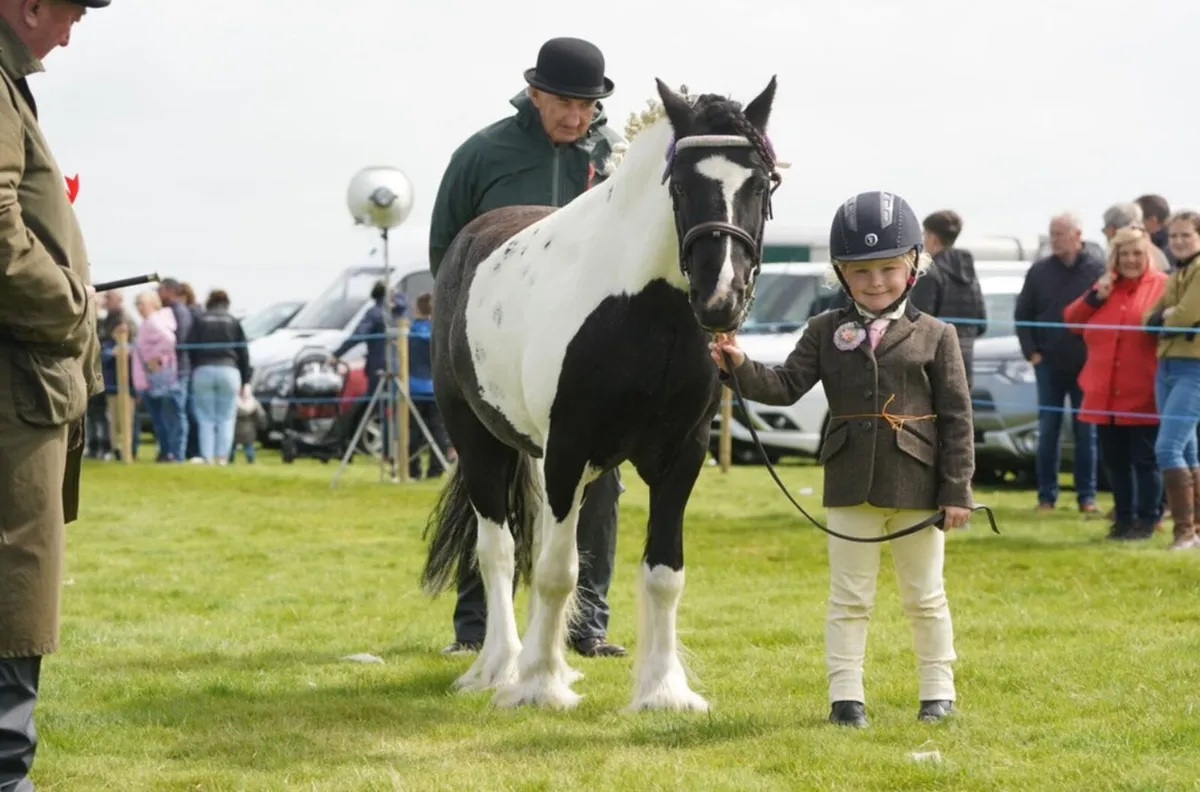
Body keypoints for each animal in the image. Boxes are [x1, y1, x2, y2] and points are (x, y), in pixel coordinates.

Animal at [420, 76, 782, 712]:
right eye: (681, 185)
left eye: (759, 184)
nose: (721, 300)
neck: (645, 312)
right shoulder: (567, 448)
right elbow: (555, 572)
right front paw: (539, 685)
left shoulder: (679, 458)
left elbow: (663, 575)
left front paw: (663, 691)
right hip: (481, 442)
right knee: (499, 552)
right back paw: (501, 666)